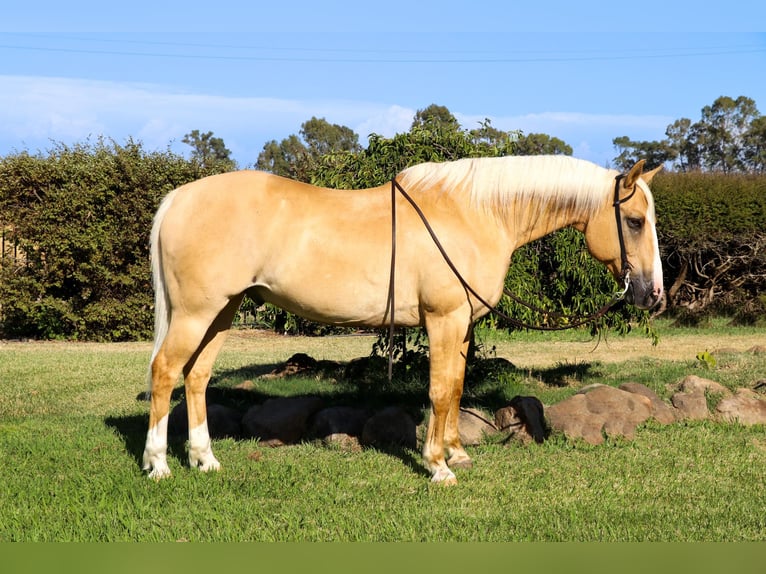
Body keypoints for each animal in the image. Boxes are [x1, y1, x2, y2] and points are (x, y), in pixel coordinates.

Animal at [141, 155, 663, 484]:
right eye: (635, 221)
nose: (653, 295)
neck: (473, 215)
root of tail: (178, 198)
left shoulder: (462, 324)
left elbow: (456, 387)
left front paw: (457, 452)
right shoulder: (443, 319)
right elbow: (440, 390)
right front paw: (438, 466)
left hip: (223, 311)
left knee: (196, 377)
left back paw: (205, 460)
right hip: (196, 313)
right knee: (166, 372)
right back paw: (158, 464)